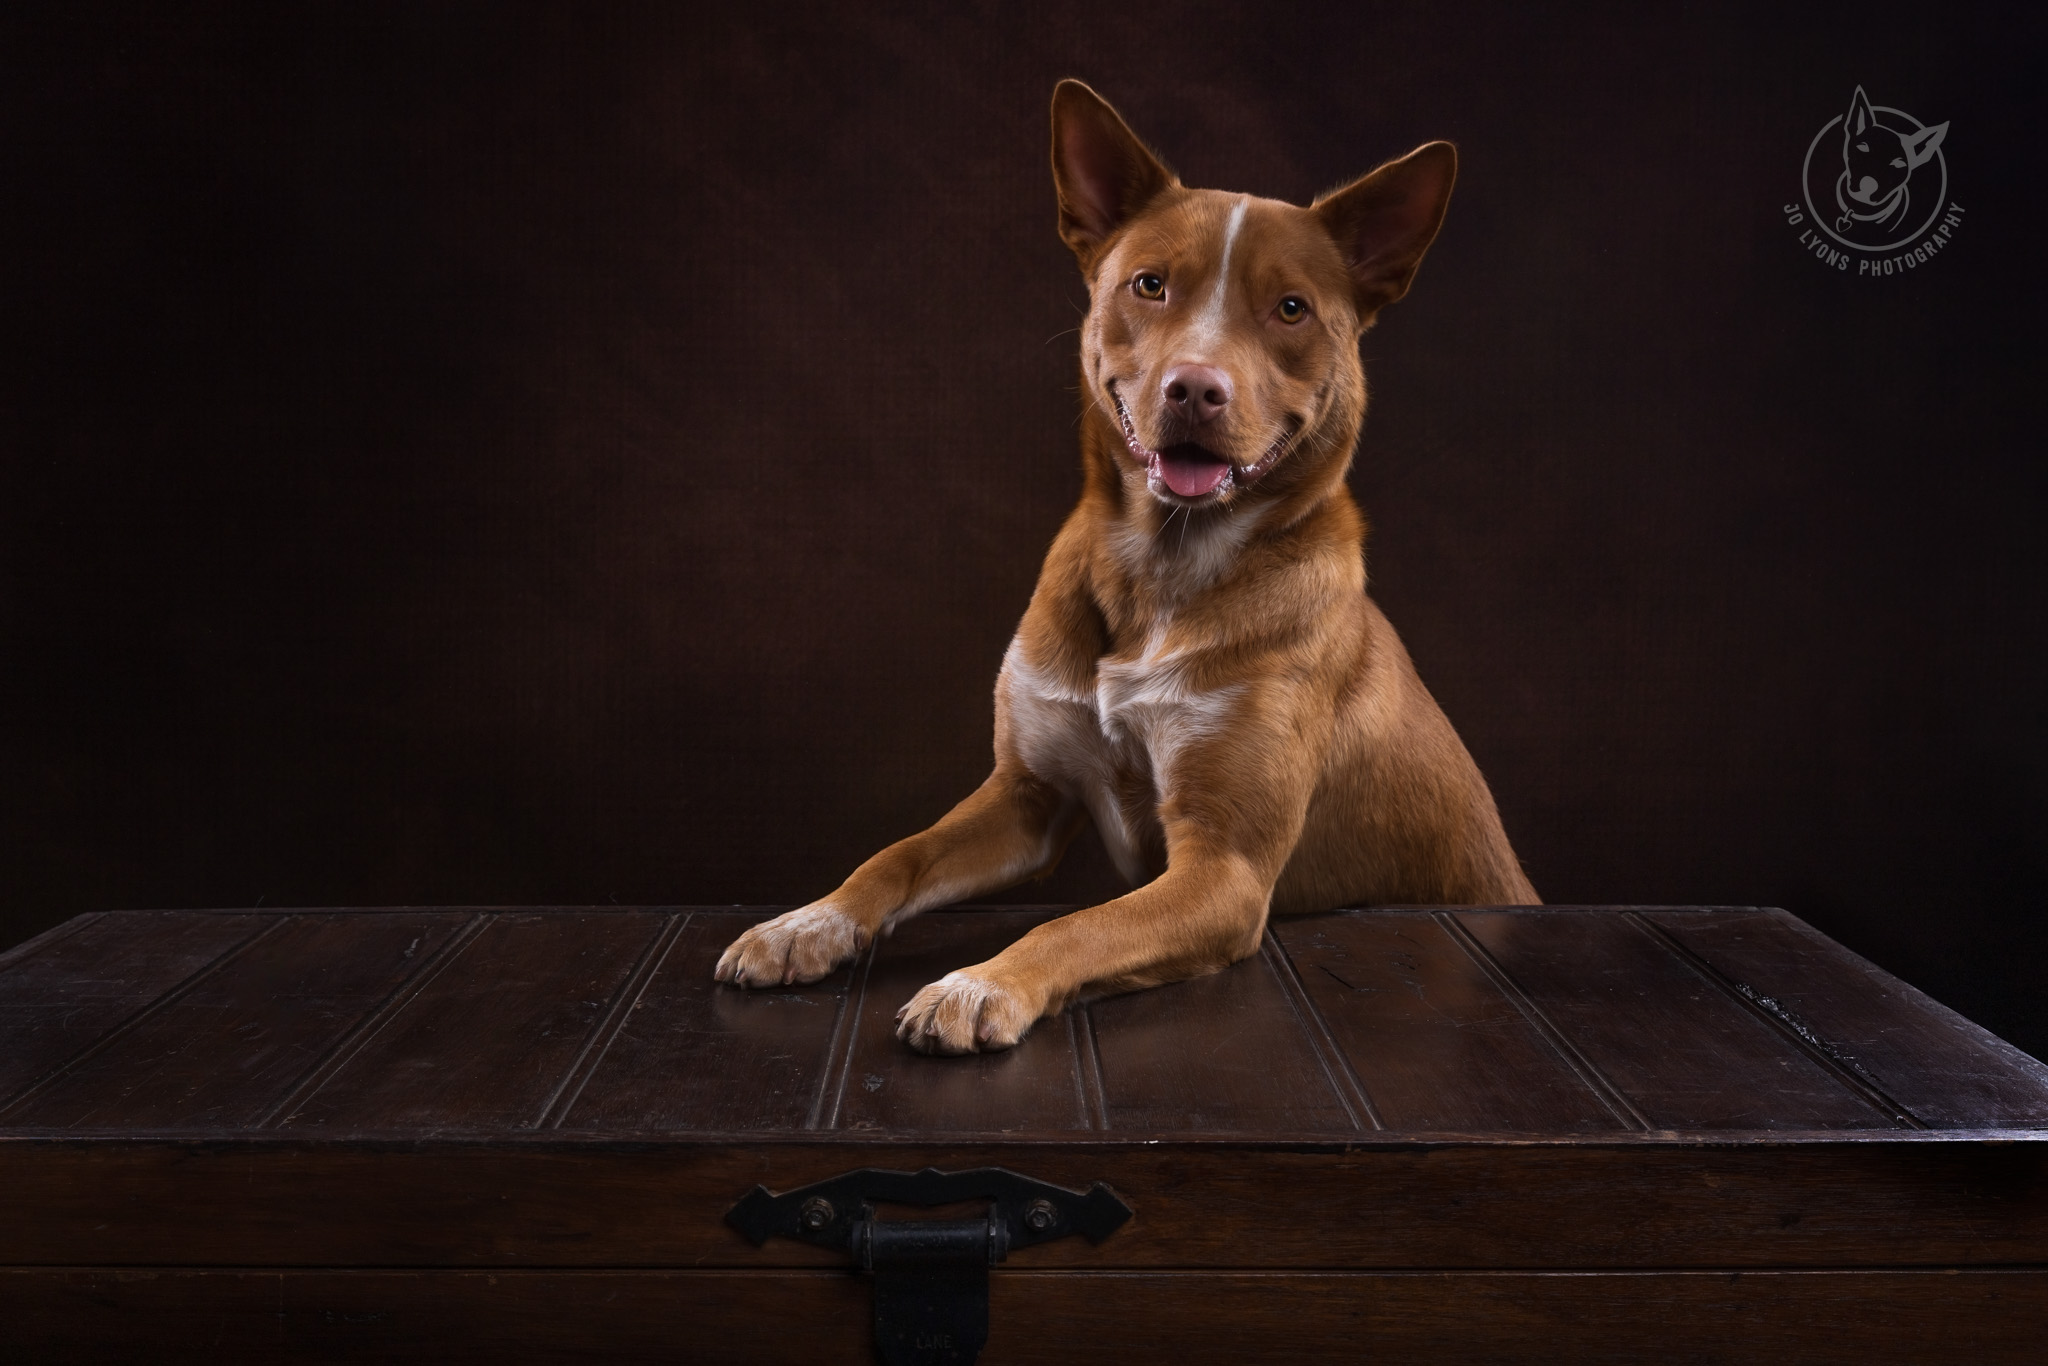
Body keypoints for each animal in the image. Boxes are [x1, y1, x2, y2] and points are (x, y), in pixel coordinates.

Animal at [720, 80, 1540, 1056]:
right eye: (1151, 285)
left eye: (1291, 309)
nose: (1195, 388)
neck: (1161, 570)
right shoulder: (1026, 797)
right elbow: (897, 854)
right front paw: (806, 923)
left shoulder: (1225, 869)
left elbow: (1082, 922)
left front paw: (979, 982)